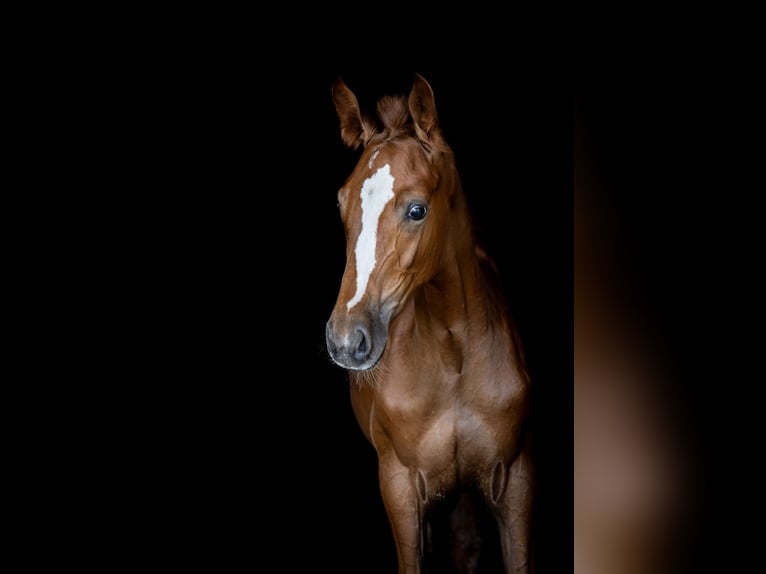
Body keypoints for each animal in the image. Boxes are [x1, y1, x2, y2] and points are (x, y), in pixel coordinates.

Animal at [325, 74, 534, 573]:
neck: (451, 348)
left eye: (417, 209)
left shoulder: (516, 480)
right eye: (341, 202)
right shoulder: (399, 487)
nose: (345, 340)